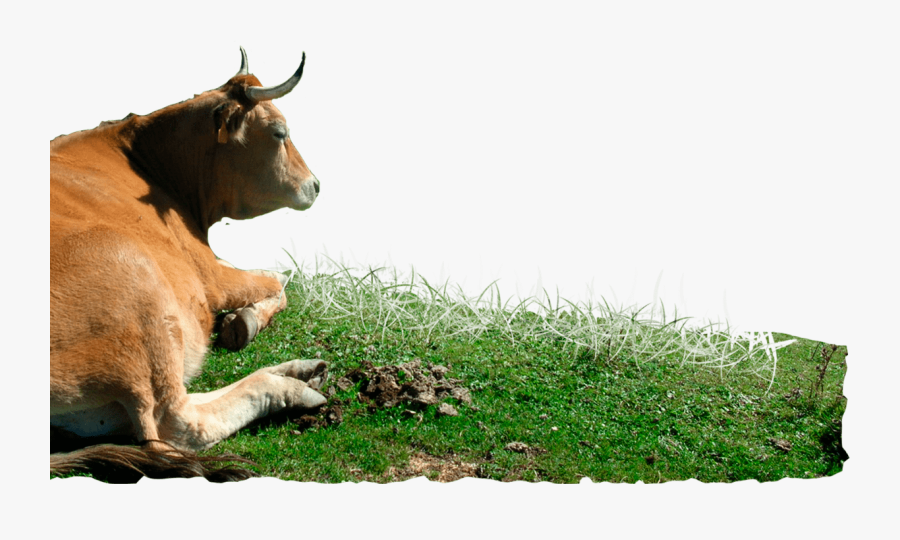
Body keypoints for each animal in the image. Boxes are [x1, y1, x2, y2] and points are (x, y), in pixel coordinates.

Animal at [50, 48, 328, 480]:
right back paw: (286, 387)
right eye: (280, 132)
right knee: (177, 425)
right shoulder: (210, 276)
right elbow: (279, 279)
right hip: (136, 280)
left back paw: (295, 370)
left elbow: (276, 277)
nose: (315, 184)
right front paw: (245, 320)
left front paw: (241, 320)